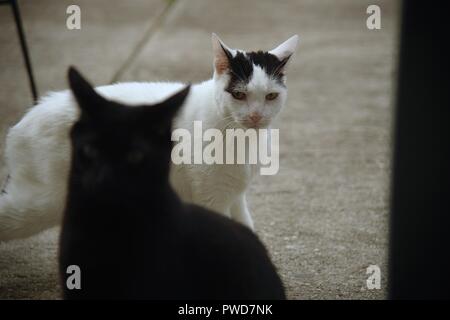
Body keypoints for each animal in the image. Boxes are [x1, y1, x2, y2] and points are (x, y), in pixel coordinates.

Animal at [0, 35, 298, 240]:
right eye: (238, 95)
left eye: (271, 96)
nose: (256, 116)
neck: (240, 138)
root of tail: (26, 118)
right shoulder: (212, 199)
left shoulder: (235, 197)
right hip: (45, 201)